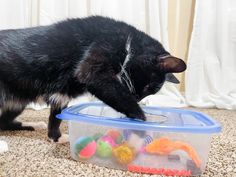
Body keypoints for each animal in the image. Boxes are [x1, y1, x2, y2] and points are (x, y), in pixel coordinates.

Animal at [0, 15, 186, 142]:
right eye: (148, 87)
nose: (138, 98)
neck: (128, 44)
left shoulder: (63, 94)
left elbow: (56, 116)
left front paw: (55, 137)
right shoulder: (95, 65)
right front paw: (142, 125)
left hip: (16, 104)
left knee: (4, 123)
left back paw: (33, 125)